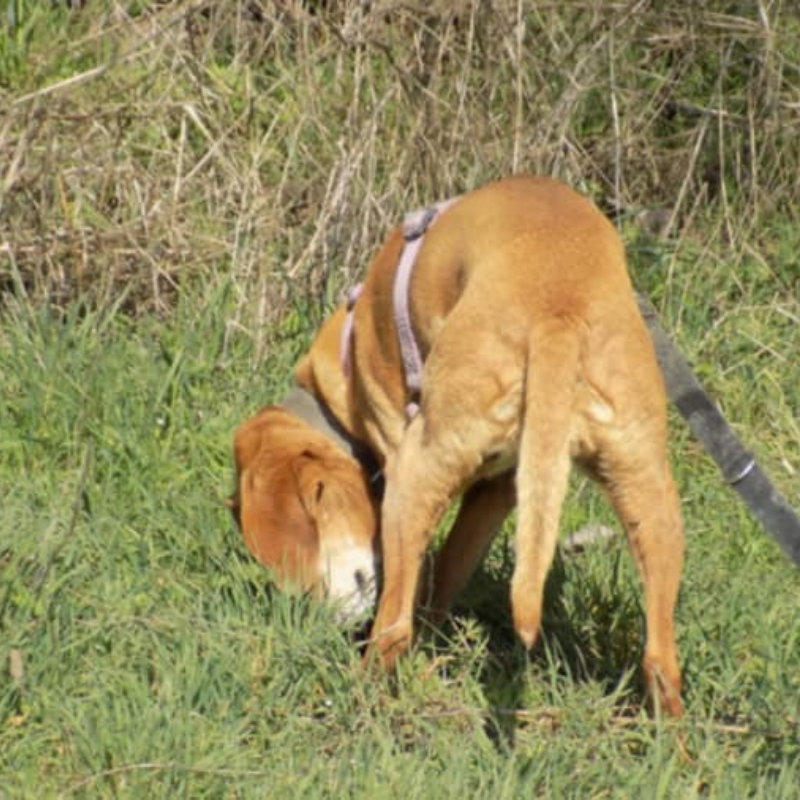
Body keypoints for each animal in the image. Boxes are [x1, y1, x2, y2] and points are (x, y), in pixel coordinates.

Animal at [228, 175, 684, 712]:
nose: (316, 624)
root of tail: (557, 312)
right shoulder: (499, 489)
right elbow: (448, 569)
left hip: (415, 479)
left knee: (392, 630)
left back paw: (355, 697)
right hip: (648, 492)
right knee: (661, 661)